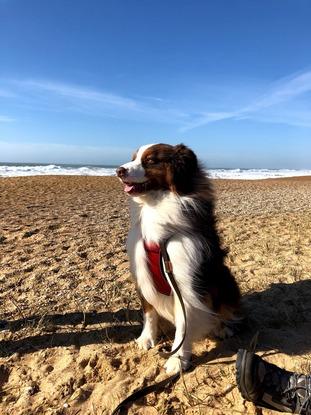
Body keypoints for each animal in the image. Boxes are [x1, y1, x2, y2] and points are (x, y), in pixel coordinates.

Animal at [117, 145, 241, 376]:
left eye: (150, 161)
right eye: (133, 158)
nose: (119, 171)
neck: (156, 205)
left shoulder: (185, 281)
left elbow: (184, 325)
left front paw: (177, 359)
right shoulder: (142, 273)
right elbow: (149, 312)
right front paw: (147, 338)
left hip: (225, 279)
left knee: (222, 309)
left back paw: (221, 327)